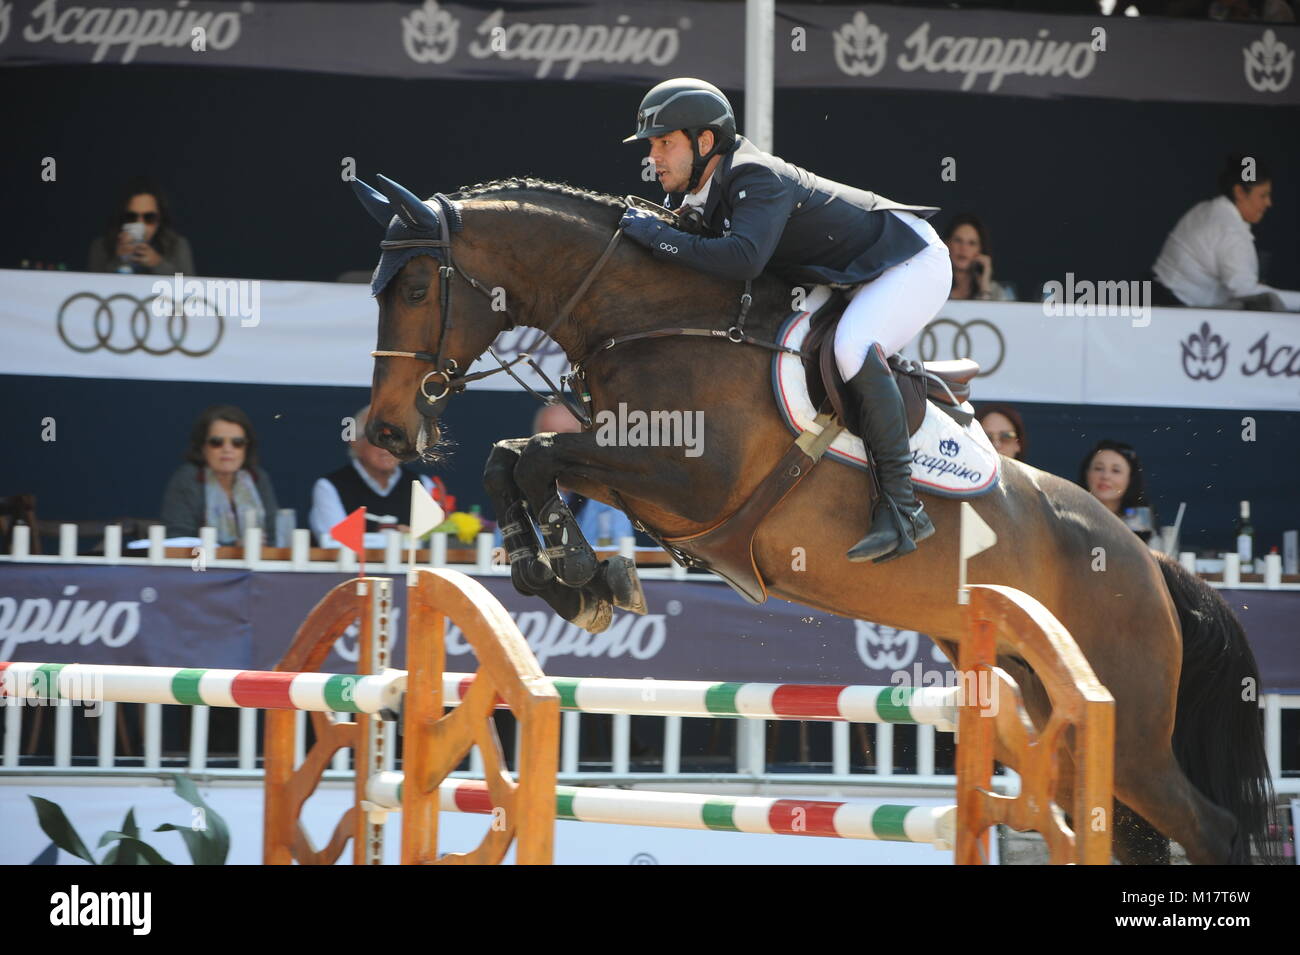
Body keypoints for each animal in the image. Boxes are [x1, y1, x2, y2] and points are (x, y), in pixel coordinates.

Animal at [353, 174, 1279, 867]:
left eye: (414, 287)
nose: (386, 432)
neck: (651, 317)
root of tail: (1147, 560)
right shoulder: (650, 483)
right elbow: (511, 457)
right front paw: (562, 573)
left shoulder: (688, 482)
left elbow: (535, 457)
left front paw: (580, 576)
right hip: (1042, 702)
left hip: (1129, 721)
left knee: (1211, 825)